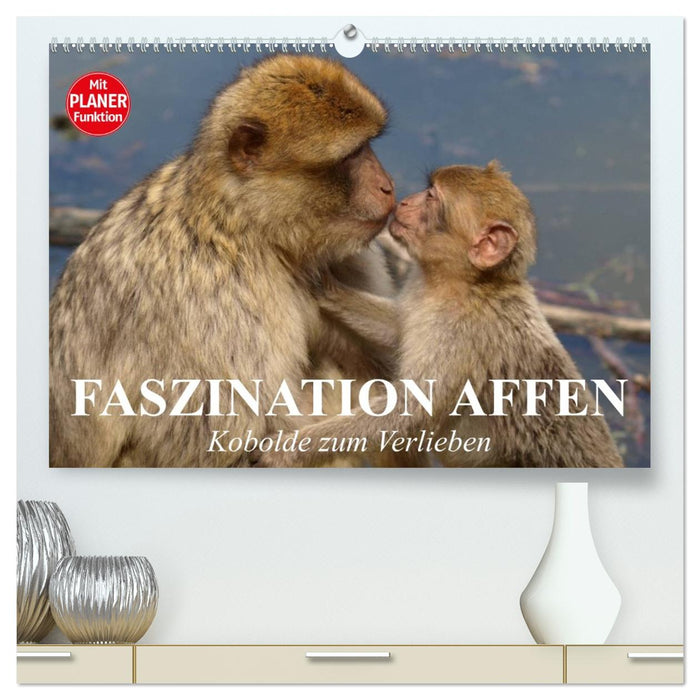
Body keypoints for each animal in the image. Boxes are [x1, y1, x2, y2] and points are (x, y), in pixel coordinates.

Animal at [49, 55, 398, 467]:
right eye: (351, 155)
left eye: (369, 146)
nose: (387, 186)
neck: (244, 227)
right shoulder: (216, 302)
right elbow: (219, 443)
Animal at [252, 161, 625, 468]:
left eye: (431, 197)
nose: (403, 201)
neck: (463, 284)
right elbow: (397, 328)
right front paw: (324, 286)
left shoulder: (458, 333)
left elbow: (408, 412)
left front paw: (290, 449)